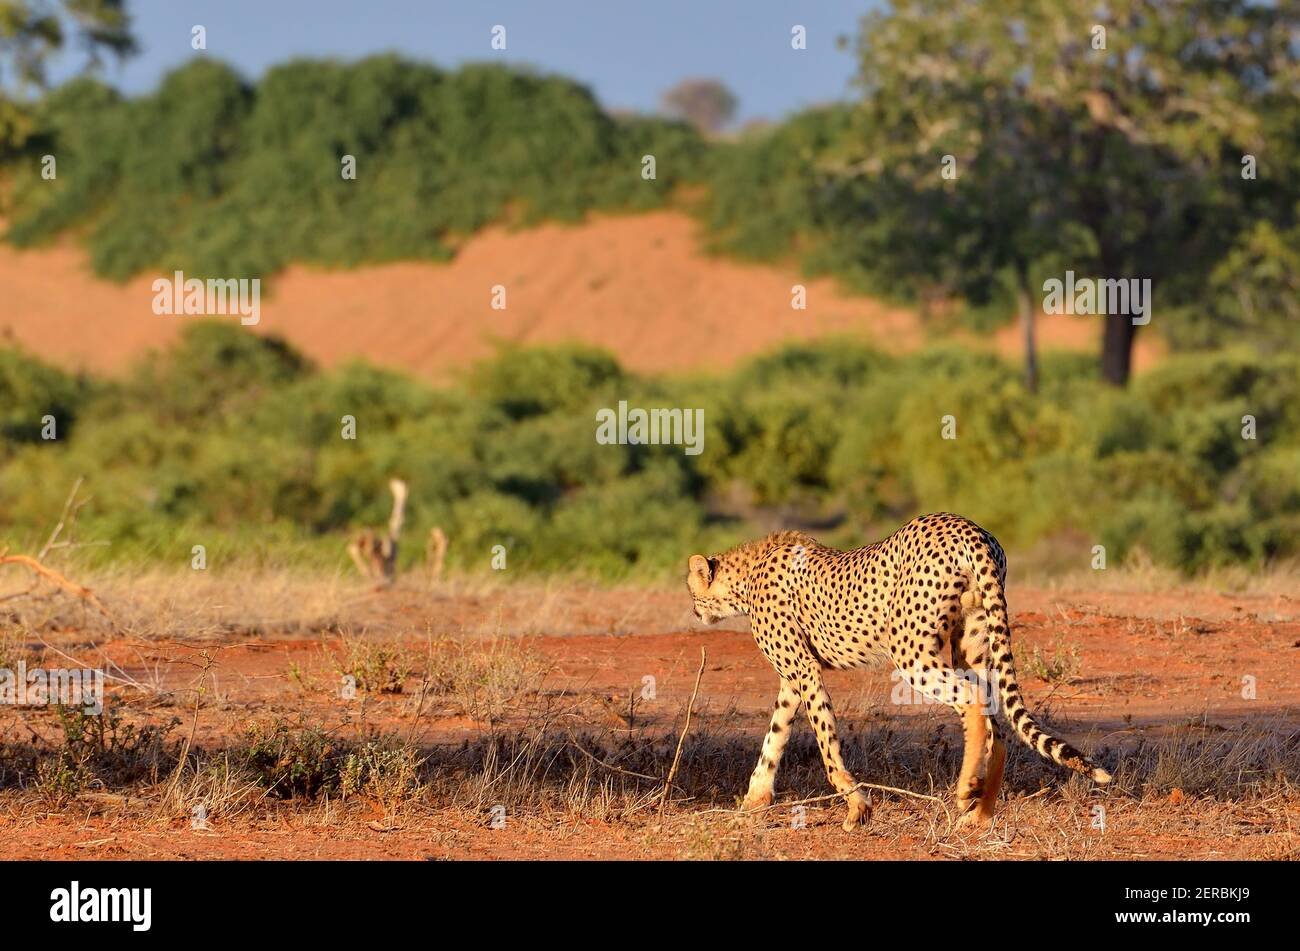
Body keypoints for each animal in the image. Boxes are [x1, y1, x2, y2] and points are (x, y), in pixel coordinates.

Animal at [686, 511, 1112, 831]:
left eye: (692, 591)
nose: (694, 610)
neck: (748, 574)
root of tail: (967, 527)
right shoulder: (794, 679)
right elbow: (775, 736)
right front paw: (753, 801)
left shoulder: (805, 671)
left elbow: (825, 744)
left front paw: (857, 808)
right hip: (973, 646)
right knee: (997, 723)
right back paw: (980, 810)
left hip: (911, 652)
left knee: (972, 701)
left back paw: (965, 790)